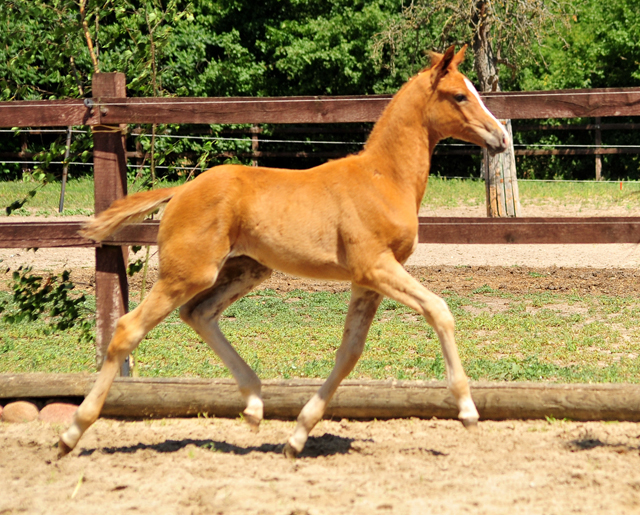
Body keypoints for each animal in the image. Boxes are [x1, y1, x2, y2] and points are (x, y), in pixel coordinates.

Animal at [61, 46, 510, 460]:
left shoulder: (367, 281)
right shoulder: (375, 267)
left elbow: (349, 352)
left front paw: (298, 435)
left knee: (199, 313)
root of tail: (182, 189)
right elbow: (439, 310)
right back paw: (71, 433)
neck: (383, 178)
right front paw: (467, 410)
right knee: (128, 328)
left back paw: (255, 405)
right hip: (187, 273)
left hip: (245, 270)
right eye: (460, 95)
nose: (501, 137)